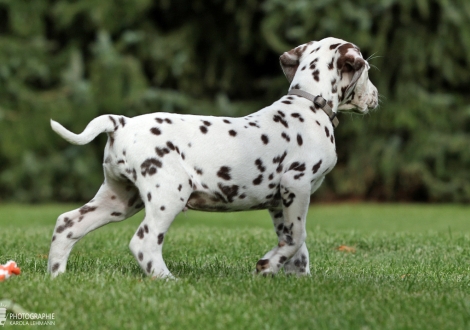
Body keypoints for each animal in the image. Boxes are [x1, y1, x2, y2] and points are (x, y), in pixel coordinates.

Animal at [47, 36, 378, 278]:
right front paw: (269, 265)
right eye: (367, 70)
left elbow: (296, 244)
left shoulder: (278, 201)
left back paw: (57, 276)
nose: (375, 97)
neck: (310, 104)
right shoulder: (296, 185)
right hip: (169, 194)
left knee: (67, 223)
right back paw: (167, 280)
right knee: (144, 241)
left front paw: (293, 276)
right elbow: (298, 236)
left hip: (119, 199)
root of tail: (121, 122)